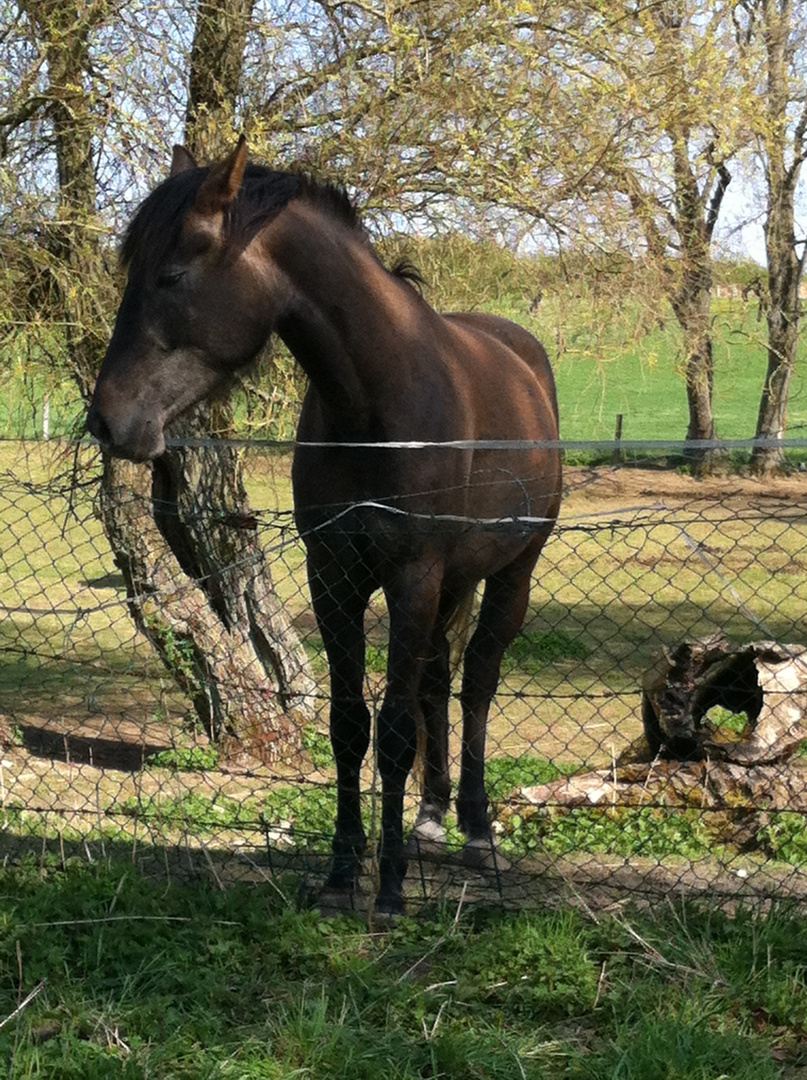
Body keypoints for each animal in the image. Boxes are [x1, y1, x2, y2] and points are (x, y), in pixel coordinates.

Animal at [85, 139, 557, 915]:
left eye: (173, 274)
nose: (107, 421)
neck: (375, 405)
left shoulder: (411, 575)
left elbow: (392, 731)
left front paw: (389, 889)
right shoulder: (334, 577)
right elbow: (347, 726)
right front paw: (342, 872)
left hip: (508, 573)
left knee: (477, 684)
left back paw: (476, 831)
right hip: (452, 584)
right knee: (437, 680)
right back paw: (432, 817)